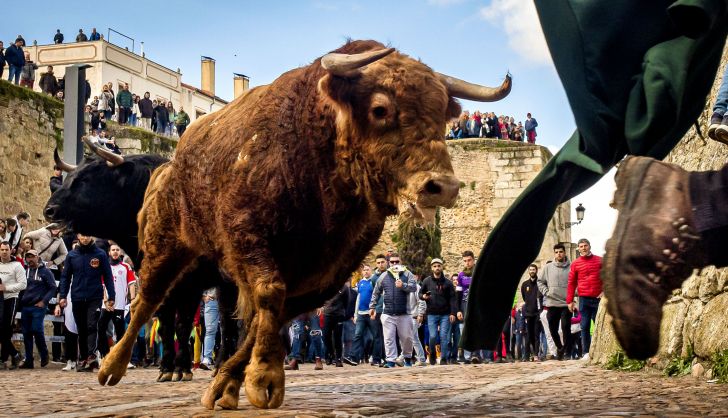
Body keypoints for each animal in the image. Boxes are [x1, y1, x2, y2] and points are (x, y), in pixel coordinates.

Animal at [45, 148, 239, 378]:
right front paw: (167, 368)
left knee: (229, 322)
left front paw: (181, 368)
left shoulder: (191, 284)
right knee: (229, 320)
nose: (49, 210)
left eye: (86, 179)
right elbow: (166, 324)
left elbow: (182, 325)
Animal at [96, 40, 510, 410]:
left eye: (442, 114)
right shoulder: (249, 240)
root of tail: (170, 164)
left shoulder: (325, 274)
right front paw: (263, 380)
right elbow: (269, 295)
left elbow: (273, 315)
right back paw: (111, 368)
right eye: (380, 108)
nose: (443, 186)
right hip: (166, 245)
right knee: (148, 300)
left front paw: (231, 384)